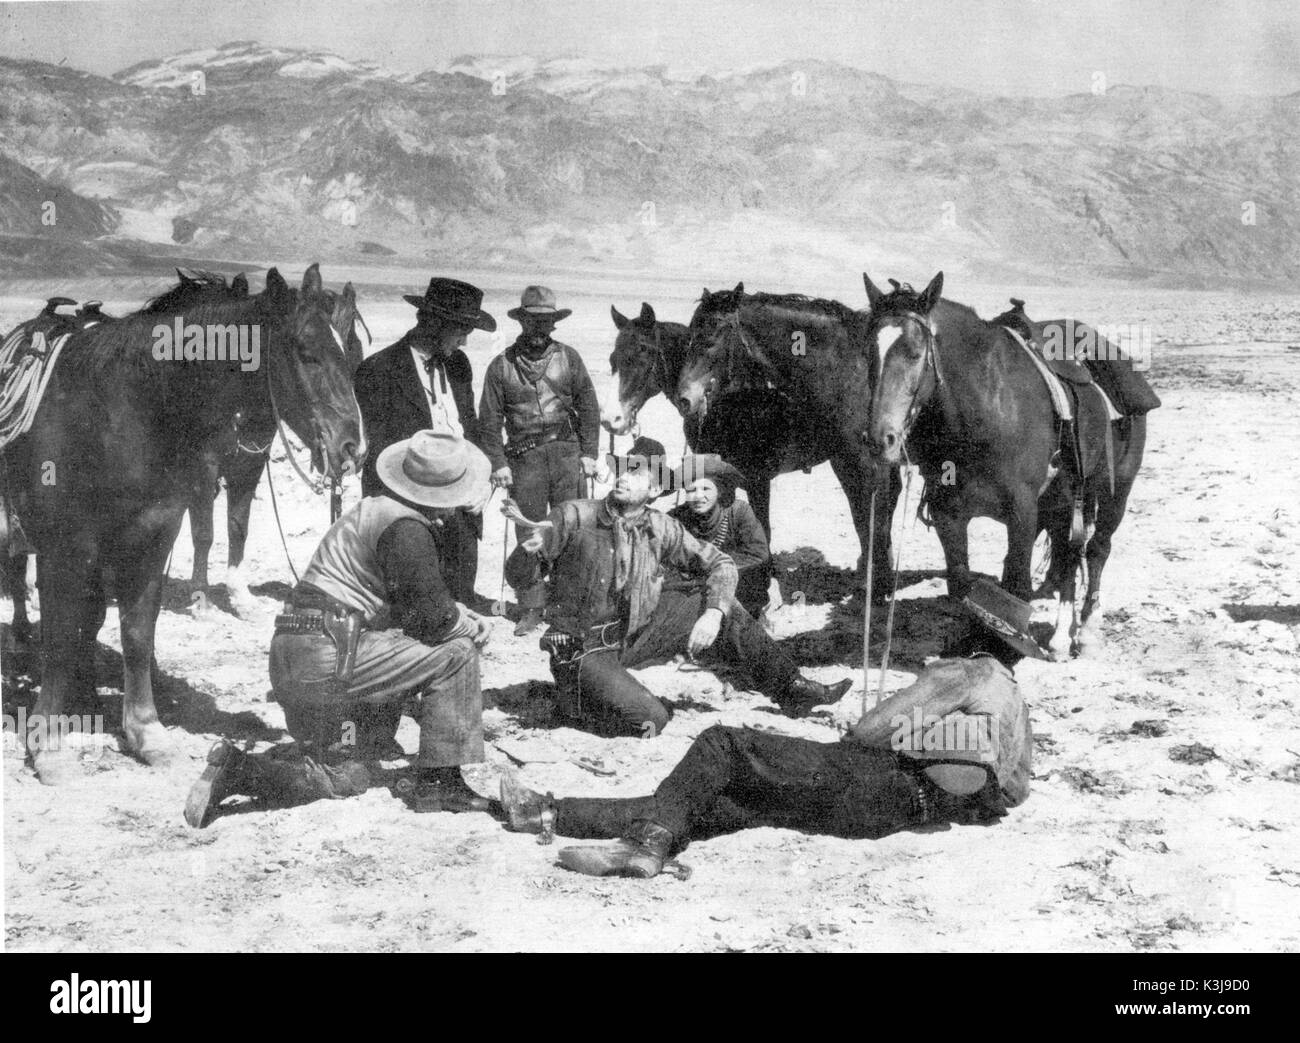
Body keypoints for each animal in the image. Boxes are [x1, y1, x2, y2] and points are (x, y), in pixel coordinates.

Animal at [1, 264, 366, 775]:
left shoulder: (151, 540)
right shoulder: (65, 550)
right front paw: (49, 745)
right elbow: (58, 639)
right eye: (306, 353)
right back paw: (19, 639)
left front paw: (145, 732)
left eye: (350, 353)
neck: (122, 413)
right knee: (18, 576)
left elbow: (136, 634)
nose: (352, 447)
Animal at [868, 271, 1144, 655]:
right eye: (870, 351)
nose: (882, 439)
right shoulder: (947, 512)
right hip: (1064, 499)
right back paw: (1061, 636)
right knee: (1067, 553)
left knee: (1096, 549)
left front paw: (1006, 648)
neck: (985, 408)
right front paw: (969, 643)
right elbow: (961, 582)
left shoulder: (1022, 511)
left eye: (914, 352)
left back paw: (1085, 629)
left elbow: (1016, 581)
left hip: (1116, 490)